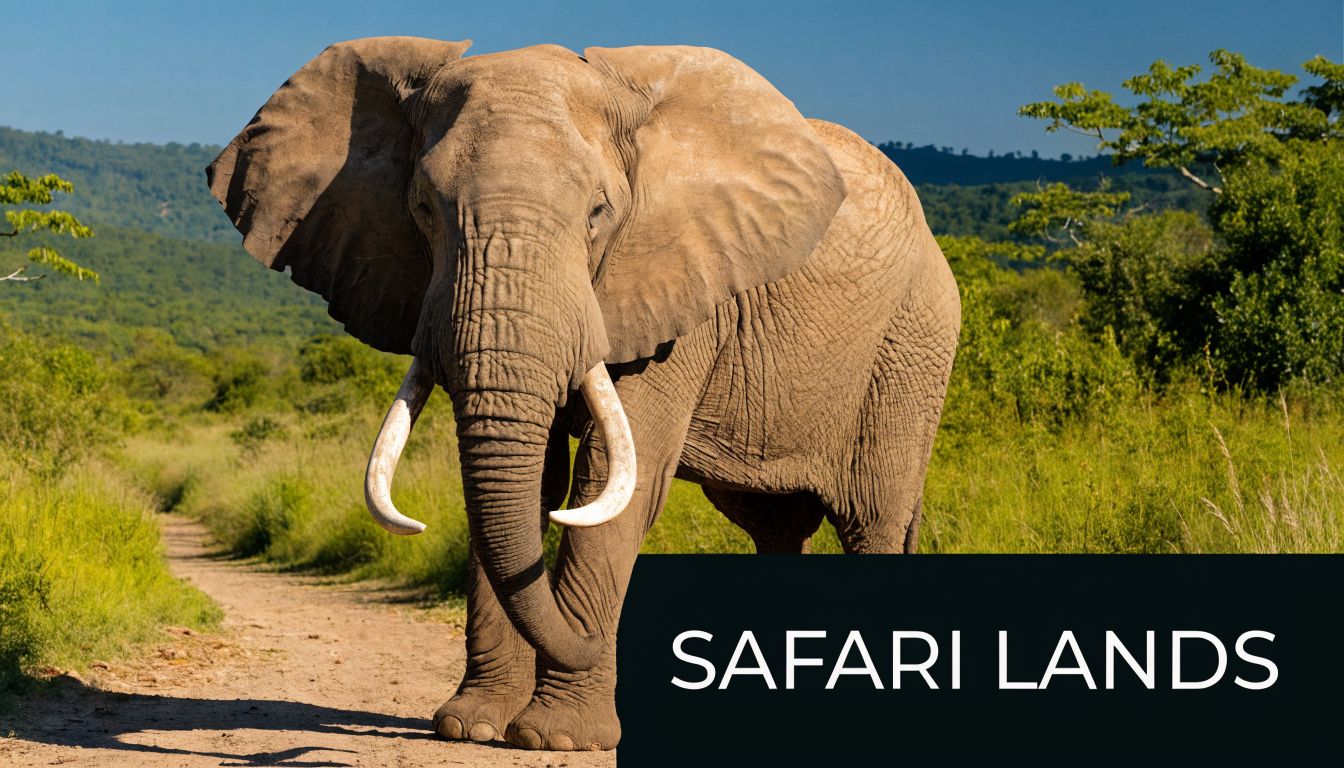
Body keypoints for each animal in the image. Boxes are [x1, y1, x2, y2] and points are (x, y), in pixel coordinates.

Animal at [206, 37, 960, 751]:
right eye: (422, 208)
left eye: (599, 212)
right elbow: (529, 481)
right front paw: (471, 727)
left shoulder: (678, 290)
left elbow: (611, 482)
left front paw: (556, 737)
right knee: (774, 526)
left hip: (912, 345)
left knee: (872, 518)